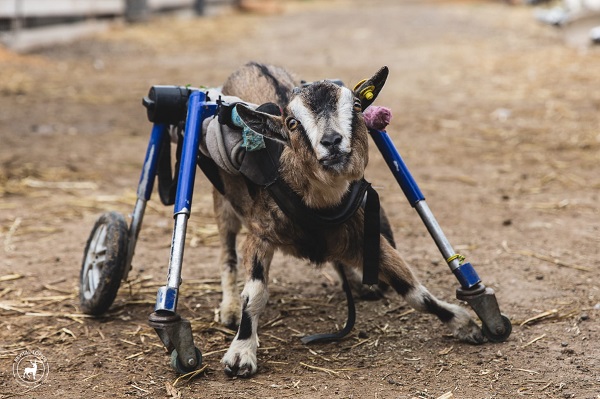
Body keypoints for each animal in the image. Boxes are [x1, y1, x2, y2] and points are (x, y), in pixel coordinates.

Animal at [211, 61, 482, 378]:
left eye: (356, 105)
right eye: (292, 123)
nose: (331, 141)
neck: (319, 208)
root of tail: (252, 64)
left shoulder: (364, 235)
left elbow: (415, 292)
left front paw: (465, 324)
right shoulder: (260, 233)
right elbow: (254, 294)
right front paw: (240, 355)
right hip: (223, 204)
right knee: (226, 253)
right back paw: (229, 308)